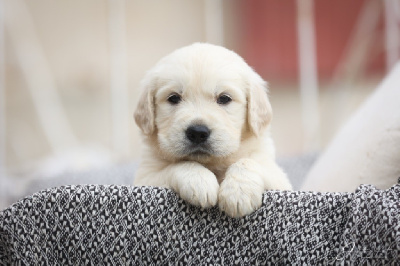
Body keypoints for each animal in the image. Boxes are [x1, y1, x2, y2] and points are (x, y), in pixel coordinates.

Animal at [134, 42, 290, 216]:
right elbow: (177, 165)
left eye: (224, 98)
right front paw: (199, 181)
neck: (213, 164)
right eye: (173, 98)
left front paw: (238, 192)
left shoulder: (278, 177)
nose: (197, 133)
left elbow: (249, 162)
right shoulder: (145, 178)